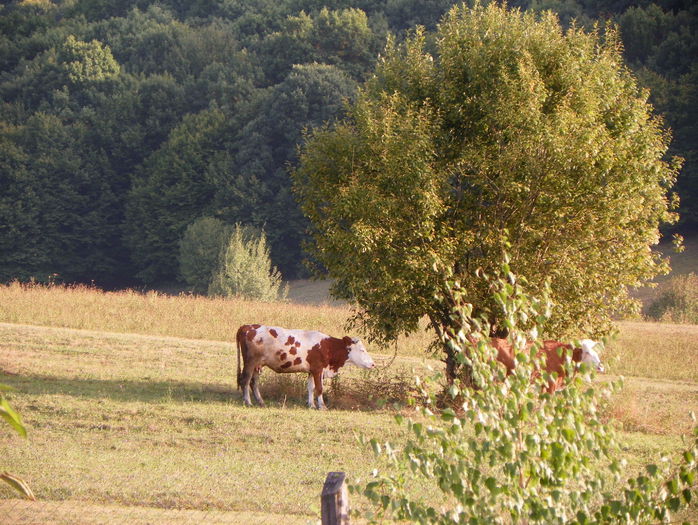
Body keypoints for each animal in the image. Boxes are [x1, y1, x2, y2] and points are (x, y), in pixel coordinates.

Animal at [236, 324, 375, 409]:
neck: (327, 347)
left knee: (254, 382)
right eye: (362, 350)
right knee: (245, 380)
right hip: (250, 362)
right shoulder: (318, 369)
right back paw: (248, 402)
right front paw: (322, 406)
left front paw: (311, 405)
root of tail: (247, 326)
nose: (373, 364)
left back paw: (260, 401)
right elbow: (319, 388)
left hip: (257, 365)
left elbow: (310, 388)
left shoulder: (311, 371)